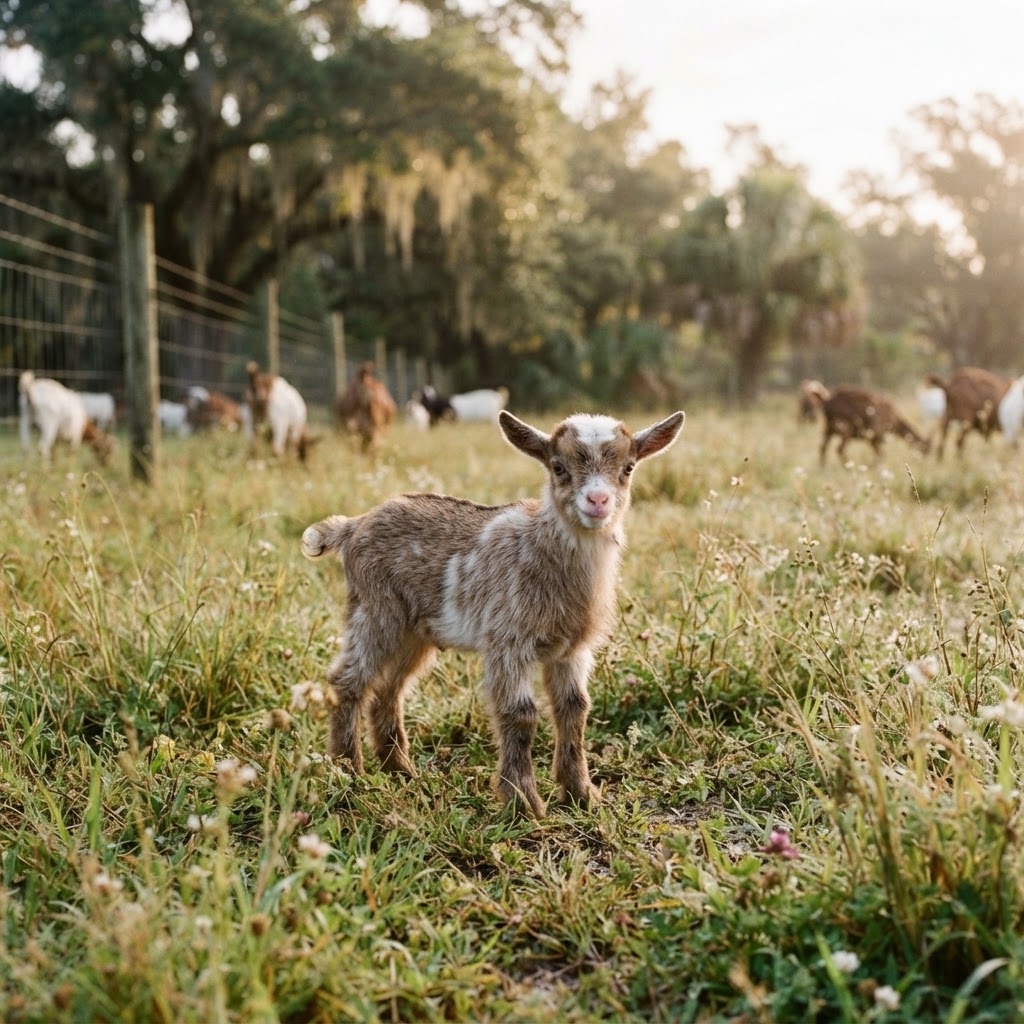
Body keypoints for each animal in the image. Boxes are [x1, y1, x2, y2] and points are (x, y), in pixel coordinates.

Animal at [301, 408, 685, 816]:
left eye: (628, 467)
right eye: (558, 467)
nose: (597, 500)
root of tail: (353, 525)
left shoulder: (571, 650)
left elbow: (575, 709)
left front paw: (582, 795)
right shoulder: (508, 639)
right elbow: (521, 714)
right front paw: (524, 803)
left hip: (414, 633)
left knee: (390, 689)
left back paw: (400, 772)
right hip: (375, 612)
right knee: (349, 680)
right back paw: (348, 772)